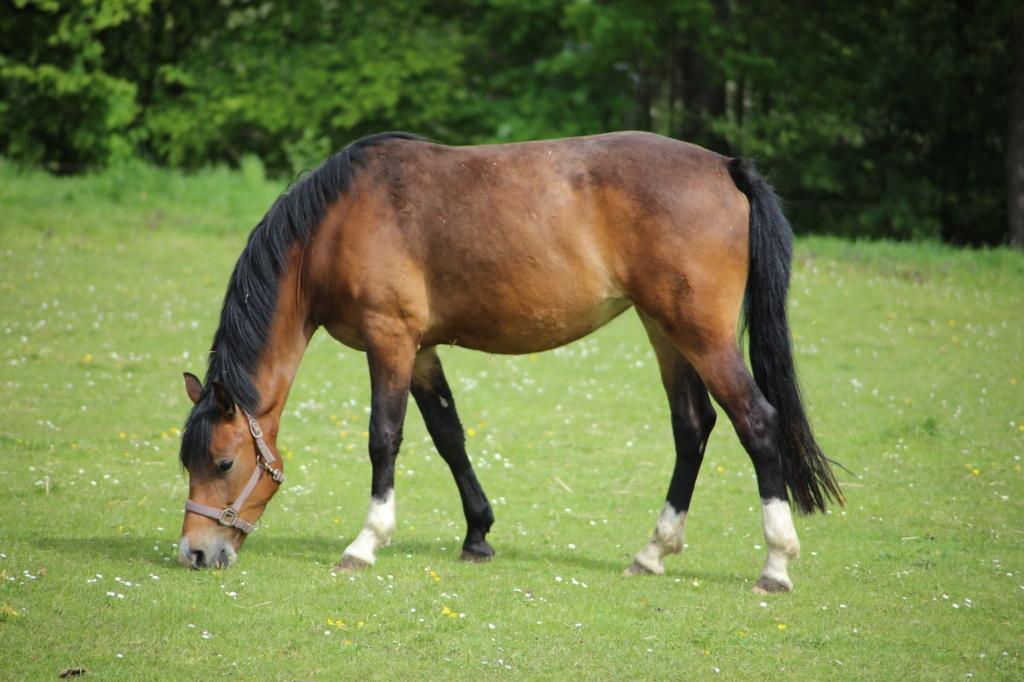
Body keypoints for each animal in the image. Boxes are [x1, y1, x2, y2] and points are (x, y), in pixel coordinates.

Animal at [177, 131, 842, 593]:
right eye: (188, 461)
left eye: (224, 461)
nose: (195, 553)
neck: (335, 224)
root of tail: (724, 167)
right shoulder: (422, 350)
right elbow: (448, 435)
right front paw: (477, 535)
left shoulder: (390, 340)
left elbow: (384, 438)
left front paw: (366, 542)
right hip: (665, 331)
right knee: (693, 427)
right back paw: (653, 552)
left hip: (701, 335)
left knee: (756, 422)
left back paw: (775, 565)